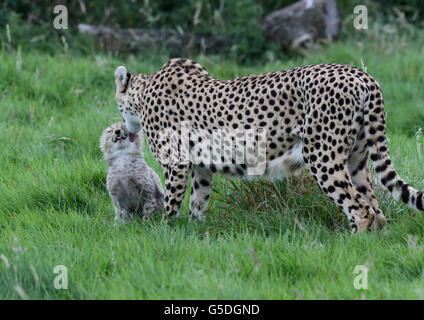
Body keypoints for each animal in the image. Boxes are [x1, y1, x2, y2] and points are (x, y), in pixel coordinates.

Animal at [113, 58, 424, 232]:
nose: (124, 129)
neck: (143, 94)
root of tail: (359, 74)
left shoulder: (176, 164)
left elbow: (171, 204)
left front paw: (162, 233)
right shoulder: (201, 168)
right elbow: (197, 203)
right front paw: (194, 233)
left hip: (321, 156)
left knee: (359, 208)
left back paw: (352, 246)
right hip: (356, 159)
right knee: (376, 210)